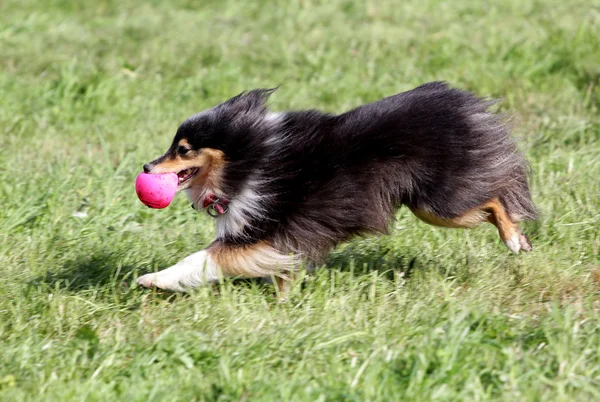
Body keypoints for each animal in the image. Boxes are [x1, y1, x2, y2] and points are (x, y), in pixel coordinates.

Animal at [138, 82, 536, 292]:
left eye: (182, 149)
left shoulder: (260, 231)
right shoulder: (280, 239)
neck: (248, 160)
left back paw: (515, 240)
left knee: (495, 199)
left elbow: (200, 258)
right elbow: (283, 273)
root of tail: (461, 104)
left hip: (439, 206)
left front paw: (152, 279)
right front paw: (284, 304)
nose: (146, 166)